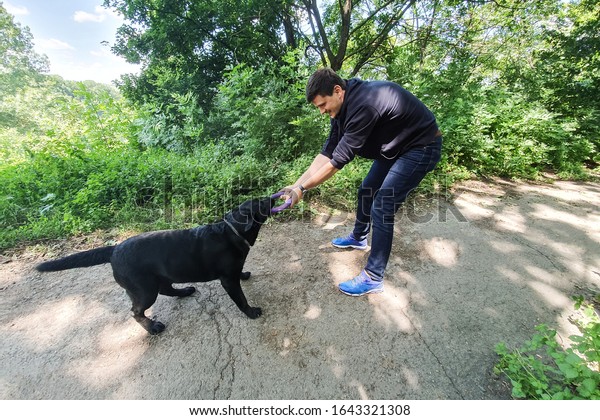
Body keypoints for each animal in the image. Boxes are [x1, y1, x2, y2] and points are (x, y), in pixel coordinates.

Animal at [35, 196, 274, 334]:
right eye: (262, 203)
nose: (272, 195)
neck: (231, 232)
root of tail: (114, 249)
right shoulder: (227, 281)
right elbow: (240, 298)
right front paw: (251, 312)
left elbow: (239, 272)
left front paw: (244, 274)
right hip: (144, 289)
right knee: (136, 311)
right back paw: (152, 328)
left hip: (160, 278)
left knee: (167, 290)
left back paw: (185, 291)